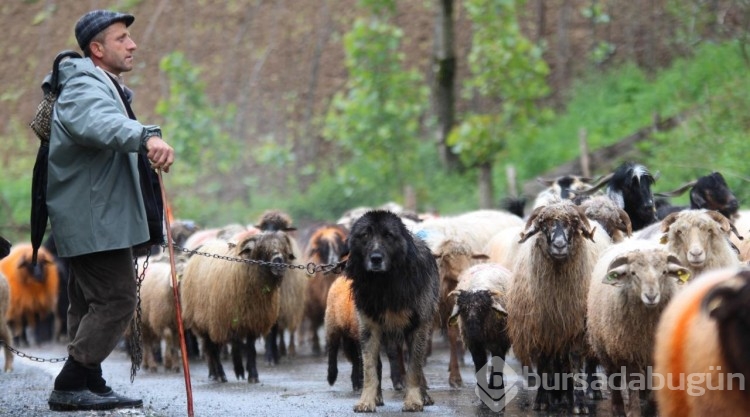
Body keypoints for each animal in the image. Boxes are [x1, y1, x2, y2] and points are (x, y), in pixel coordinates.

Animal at [302, 223, 350, 356]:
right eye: (323, 248)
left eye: (339, 246)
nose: (333, 263)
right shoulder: (311, 302)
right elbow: (313, 323)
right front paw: (316, 347)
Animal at [346, 210, 440, 412]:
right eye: (365, 235)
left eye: (388, 235)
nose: (376, 258)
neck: (385, 283)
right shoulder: (369, 328)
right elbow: (370, 368)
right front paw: (366, 401)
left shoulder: (417, 327)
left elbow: (414, 369)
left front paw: (414, 400)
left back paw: (424, 396)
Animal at [450, 262, 516, 394]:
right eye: (463, 310)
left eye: (484, 308)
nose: (473, 332)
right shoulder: (474, 345)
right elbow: (480, 363)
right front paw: (482, 388)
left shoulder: (499, 343)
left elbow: (497, 362)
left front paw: (496, 386)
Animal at [506, 199, 604, 412]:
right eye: (544, 225)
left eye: (573, 224)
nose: (559, 245)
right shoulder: (541, 329)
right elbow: (544, 364)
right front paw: (542, 399)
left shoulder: (577, 327)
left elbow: (575, 362)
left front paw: (579, 402)